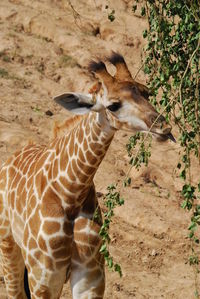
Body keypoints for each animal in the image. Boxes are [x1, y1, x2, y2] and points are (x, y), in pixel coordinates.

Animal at [0, 54, 174, 299]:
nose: (164, 128)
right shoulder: (43, 280)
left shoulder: (90, 276)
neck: (71, 191)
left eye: (146, 92)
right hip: (9, 247)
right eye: (113, 105)